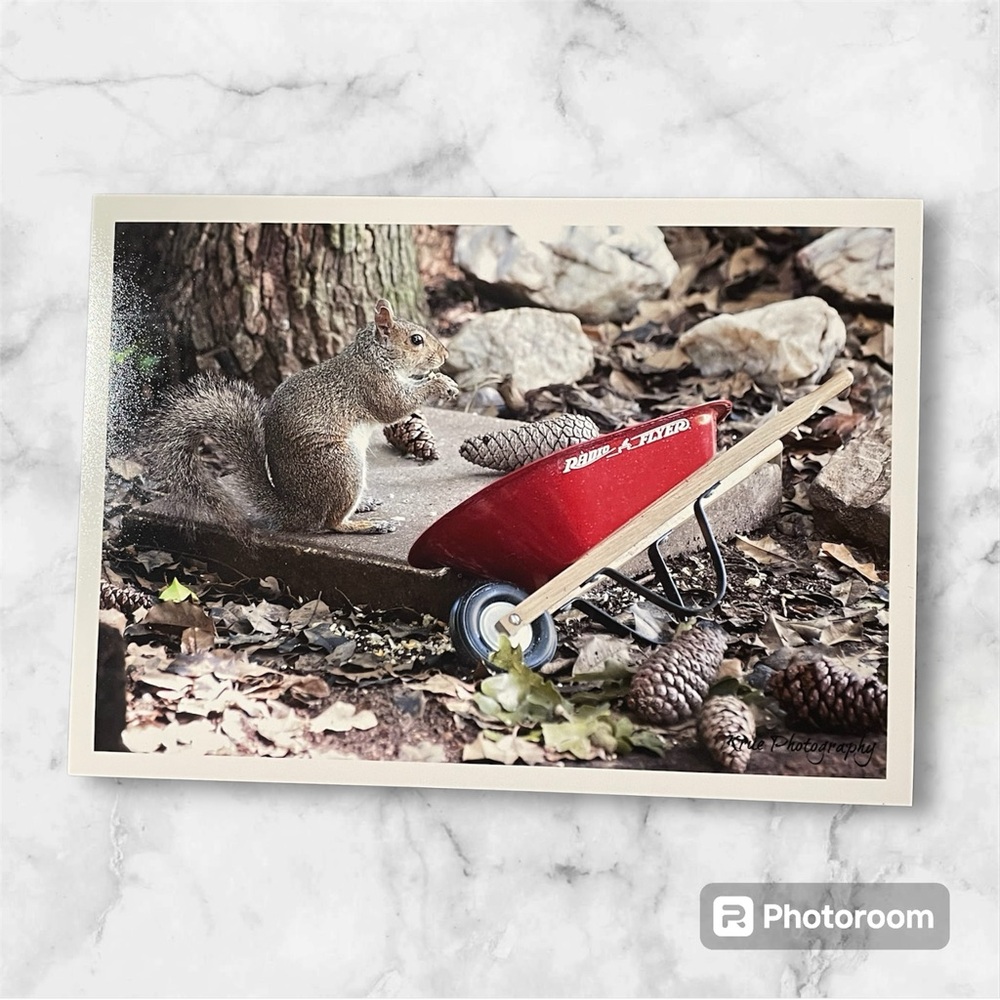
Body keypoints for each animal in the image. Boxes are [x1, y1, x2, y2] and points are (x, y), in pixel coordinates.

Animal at [149, 298, 459, 534]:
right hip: (341, 465)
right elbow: (394, 407)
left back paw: (363, 505)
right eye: (416, 340)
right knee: (332, 523)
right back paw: (368, 525)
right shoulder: (371, 385)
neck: (372, 357)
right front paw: (439, 383)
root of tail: (296, 509)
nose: (445, 355)